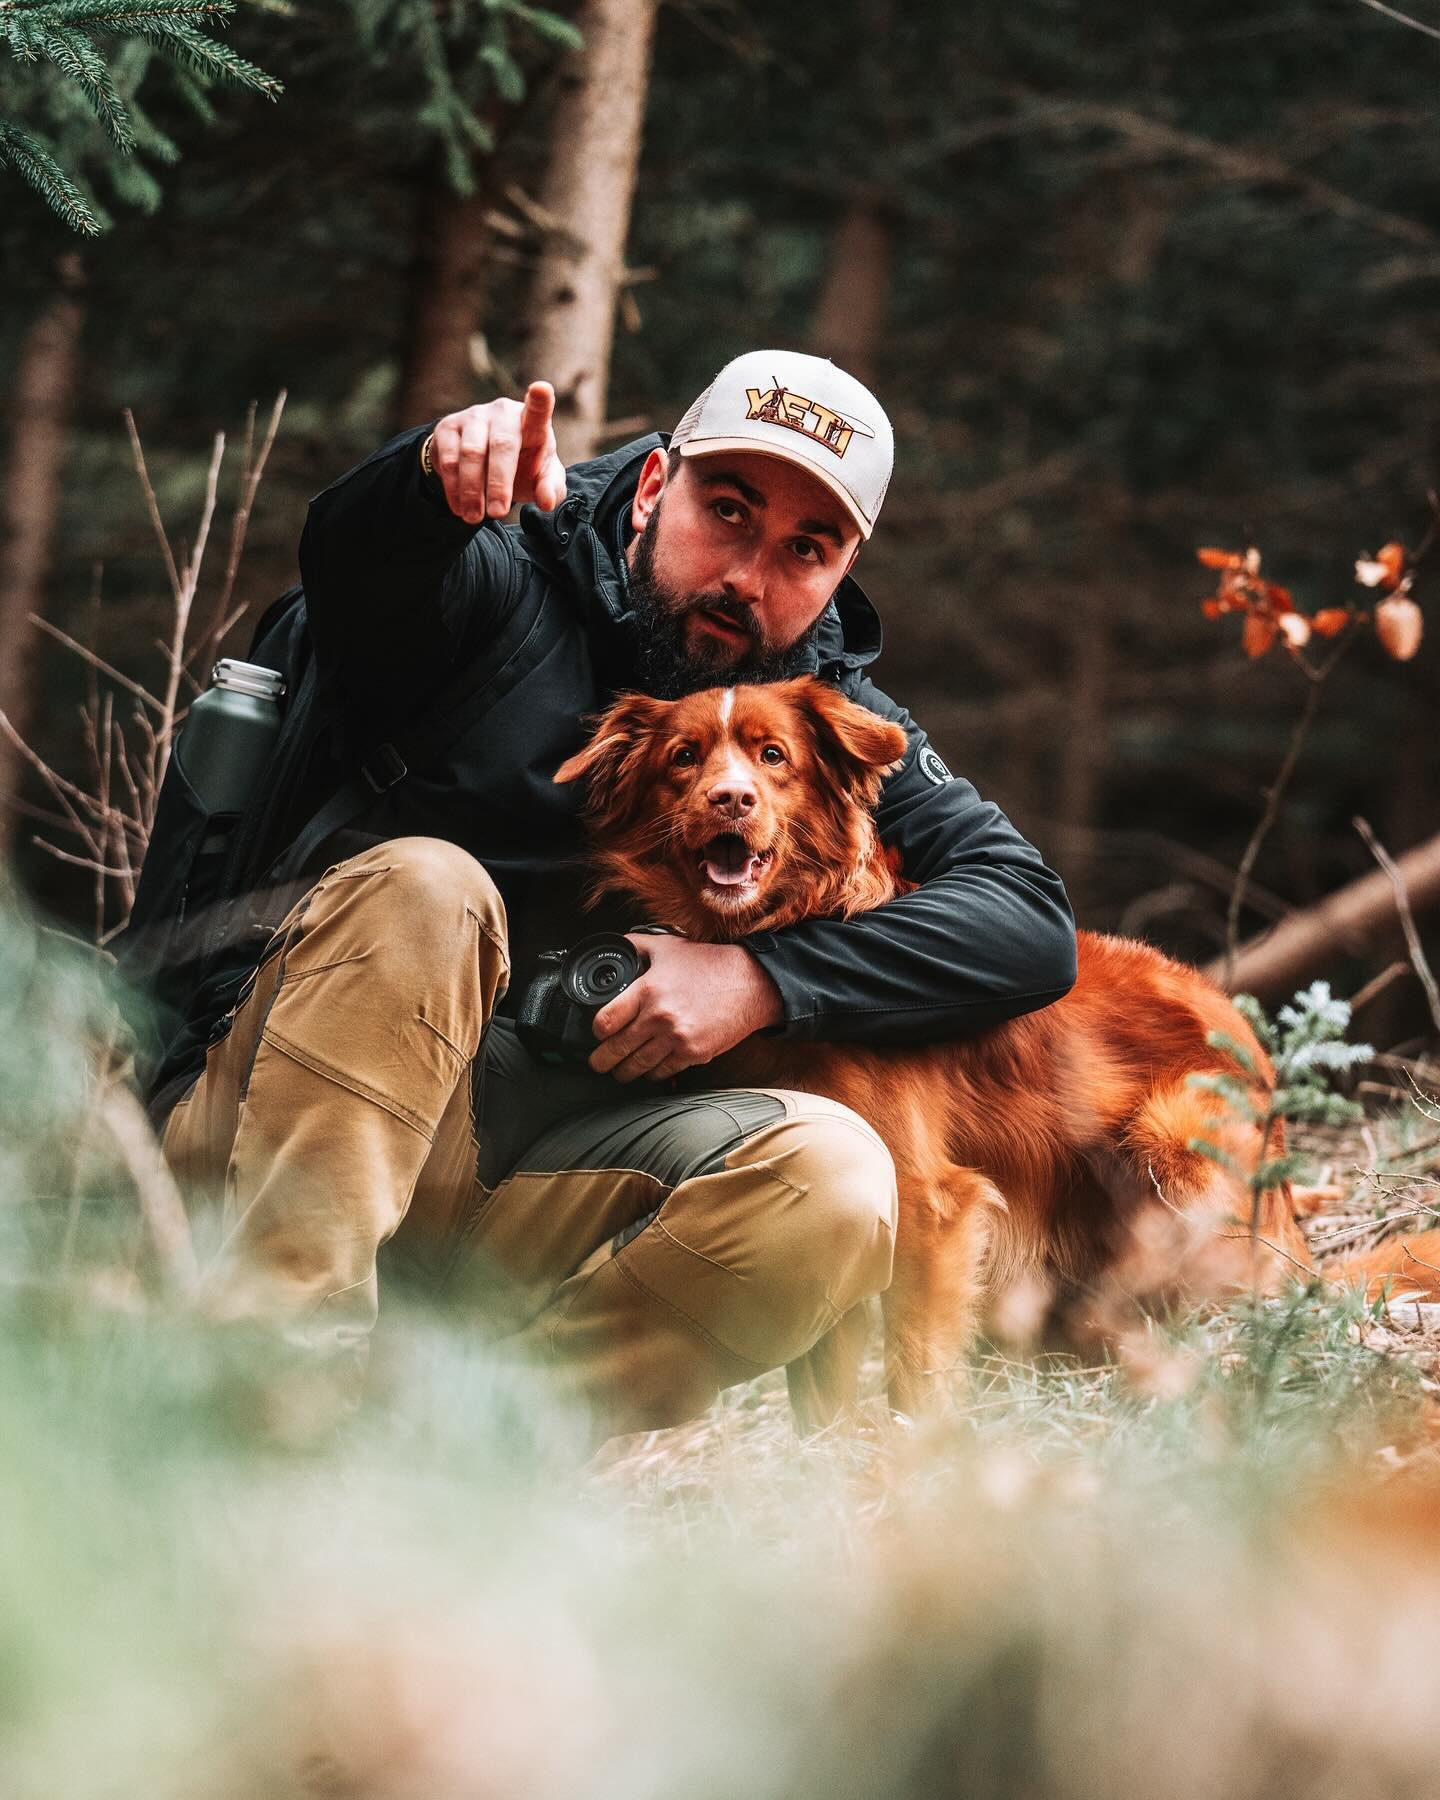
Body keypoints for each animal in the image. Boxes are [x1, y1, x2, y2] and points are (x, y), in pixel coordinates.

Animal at [550, 676, 1425, 1418]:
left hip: (1175, 1138)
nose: (730, 798)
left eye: (774, 757)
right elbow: (825, 1386)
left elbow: (914, 1371)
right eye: (683, 758)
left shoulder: (928, 1204)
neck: (771, 938)